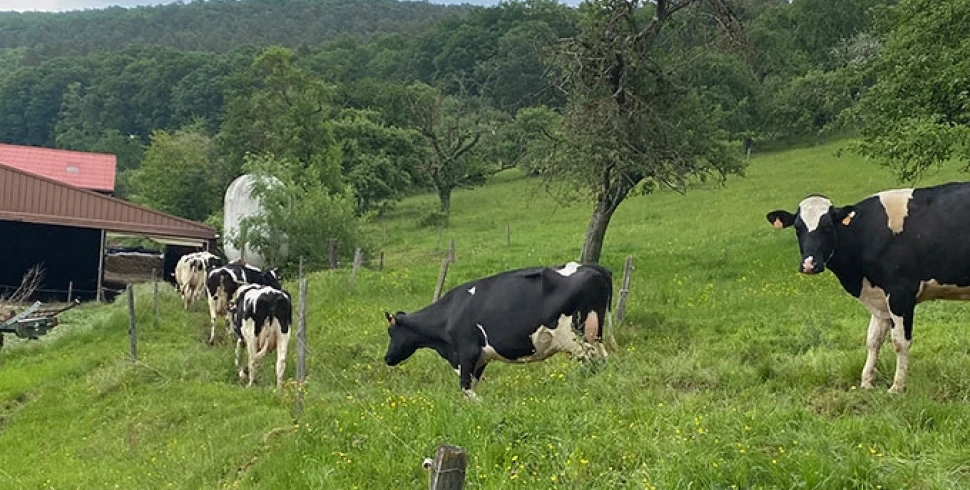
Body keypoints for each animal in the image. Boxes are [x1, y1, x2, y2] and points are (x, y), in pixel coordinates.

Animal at [380, 260, 612, 398]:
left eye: (392, 333)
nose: (387, 358)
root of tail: (593, 267)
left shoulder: (467, 352)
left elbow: (466, 388)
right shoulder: (480, 358)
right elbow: (471, 386)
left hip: (579, 336)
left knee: (593, 363)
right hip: (595, 335)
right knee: (604, 360)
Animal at [768, 182, 970, 392]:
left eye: (828, 226)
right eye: (797, 228)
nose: (809, 264)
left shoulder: (900, 292)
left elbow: (900, 342)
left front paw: (897, 387)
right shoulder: (879, 299)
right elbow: (873, 340)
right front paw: (866, 382)